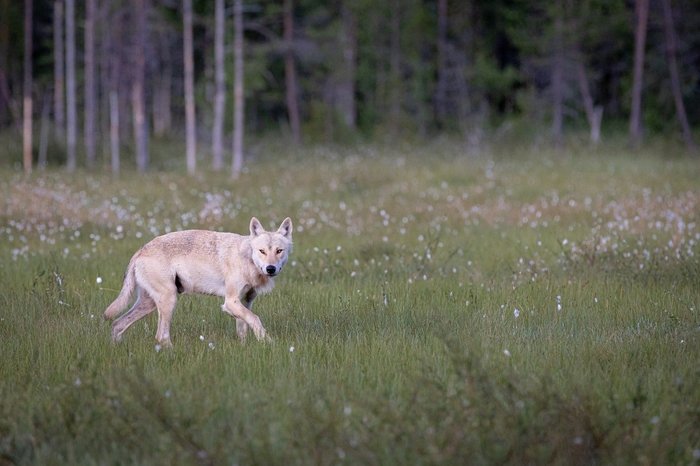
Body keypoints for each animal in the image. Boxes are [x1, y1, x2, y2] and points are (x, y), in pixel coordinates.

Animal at [102, 216, 292, 346]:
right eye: (262, 251)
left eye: (279, 251)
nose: (270, 269)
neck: (247, 258)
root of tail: (141, 250)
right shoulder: (230, 302)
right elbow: (256, 320)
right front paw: (268, 343)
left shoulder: (245, 302)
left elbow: (244, 328)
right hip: (168, 300)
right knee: (161, 336)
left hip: (148, 304)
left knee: (117, 324)